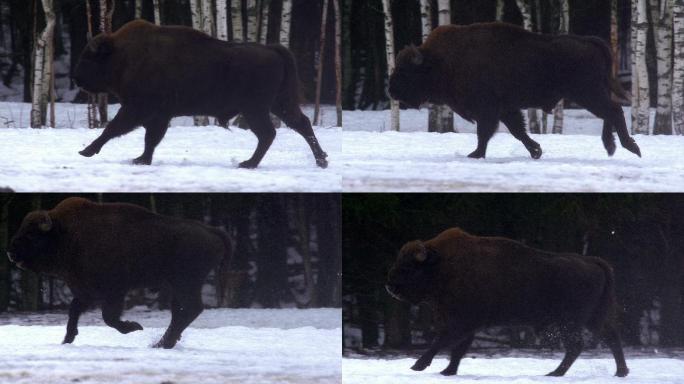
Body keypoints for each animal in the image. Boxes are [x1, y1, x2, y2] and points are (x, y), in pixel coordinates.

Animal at [6, 196, 230, 350]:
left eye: (32, 234)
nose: (10, 252)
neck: (66, 233)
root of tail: (213, 231)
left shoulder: (114, 291)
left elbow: (109, 317)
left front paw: (135, 327)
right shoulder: (85, 292)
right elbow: (74, 311)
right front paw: (67, 340)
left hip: (186, 283)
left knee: (191, 309)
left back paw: (162, 343)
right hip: (178, 287)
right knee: (180, 312)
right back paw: (164, 342)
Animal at [73, 19, 328, 168]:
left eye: (88, 57)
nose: (76, 79)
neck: (123, 55)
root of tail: (273, 50)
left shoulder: (137, 108)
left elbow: (113, 128)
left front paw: (86, 151)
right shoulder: (159, 115)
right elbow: (150, 139)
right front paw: (142, 159)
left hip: (256, 109)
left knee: (268, 133)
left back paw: (248, 163)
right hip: (278, 104)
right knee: (301, 124)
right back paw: (321, 160)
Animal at [388, 228, 628, 378]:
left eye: (409, 267)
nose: (390, 287)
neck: (441, 265)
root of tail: (593, 261)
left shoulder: (461, 323)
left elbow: (441, 343)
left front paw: (417, 366)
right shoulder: (467, 325)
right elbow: (457, 350)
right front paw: (447, 372)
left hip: (569, 322)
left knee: (577, 345)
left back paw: (554, 373)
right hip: (591, 319)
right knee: (610, 338)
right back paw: (620, 372)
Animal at [390, 21, 640, 160]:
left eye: (405, 71)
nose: (391, 90)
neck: (439, 61)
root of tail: (590, 42)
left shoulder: (488, 109)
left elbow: (485, 133)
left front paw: (476, 155)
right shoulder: (506, 109)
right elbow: (518, 131)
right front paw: (536, 151)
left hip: (588, 94)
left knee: (614, 111)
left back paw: (630, 147)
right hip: (592, 94)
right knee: (610, 113)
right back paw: (611, 147)